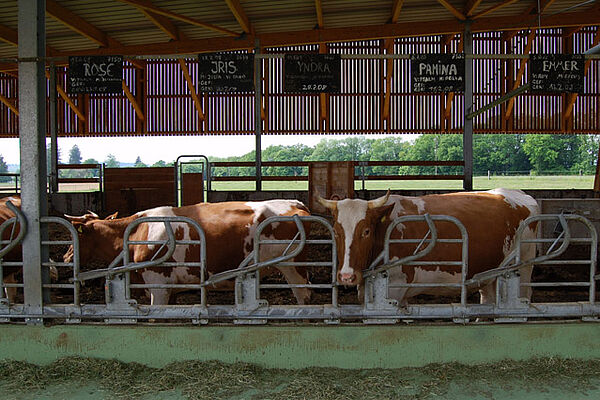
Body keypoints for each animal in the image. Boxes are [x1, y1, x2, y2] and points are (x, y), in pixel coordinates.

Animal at [63, 200, 312, 306]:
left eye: (77, 237)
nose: (65, 258)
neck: (135, 233)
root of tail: (295, 203)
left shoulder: (158, 285)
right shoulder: (170, 289)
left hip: (293, 266)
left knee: (304, 295)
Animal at [316, 188, 540, 304]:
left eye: (366, 231)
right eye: (336, 231)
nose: (346, 276)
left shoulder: (395, 287)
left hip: (523, 268)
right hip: (489, 275)